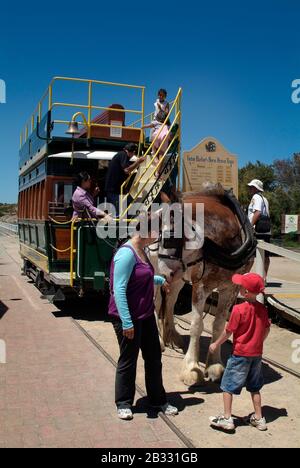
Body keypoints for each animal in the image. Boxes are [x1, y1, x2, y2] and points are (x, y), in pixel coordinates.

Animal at [151, 182, 256, 384]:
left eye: (170, 236)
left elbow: (219, 325)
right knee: (156, 302)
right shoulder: (200, 286)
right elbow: (196, 326)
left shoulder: (231, 288)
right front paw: (191, 368)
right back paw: (159, 340)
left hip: (178, 279)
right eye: (158, 232)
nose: (165, 271)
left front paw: (214, 365)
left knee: (171, 302)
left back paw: (172, 334)